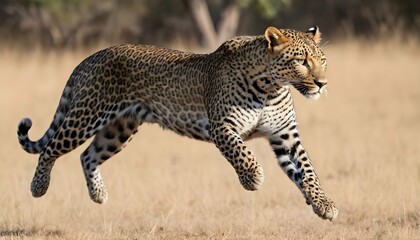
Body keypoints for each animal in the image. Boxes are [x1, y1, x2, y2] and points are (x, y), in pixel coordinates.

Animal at [18, 26, 338, 221]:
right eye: (301, 61)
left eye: (323, 60)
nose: (323, 84)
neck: (271, 88)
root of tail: (89, 57)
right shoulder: (222, 127)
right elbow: (242, 153)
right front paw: (253, 178)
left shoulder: (286, 136)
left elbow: (306, 170)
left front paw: (323, 204)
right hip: (86, 115)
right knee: (51, 149)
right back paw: (38, 187)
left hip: (119, 129)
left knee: (88, 156)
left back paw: (98, 194)